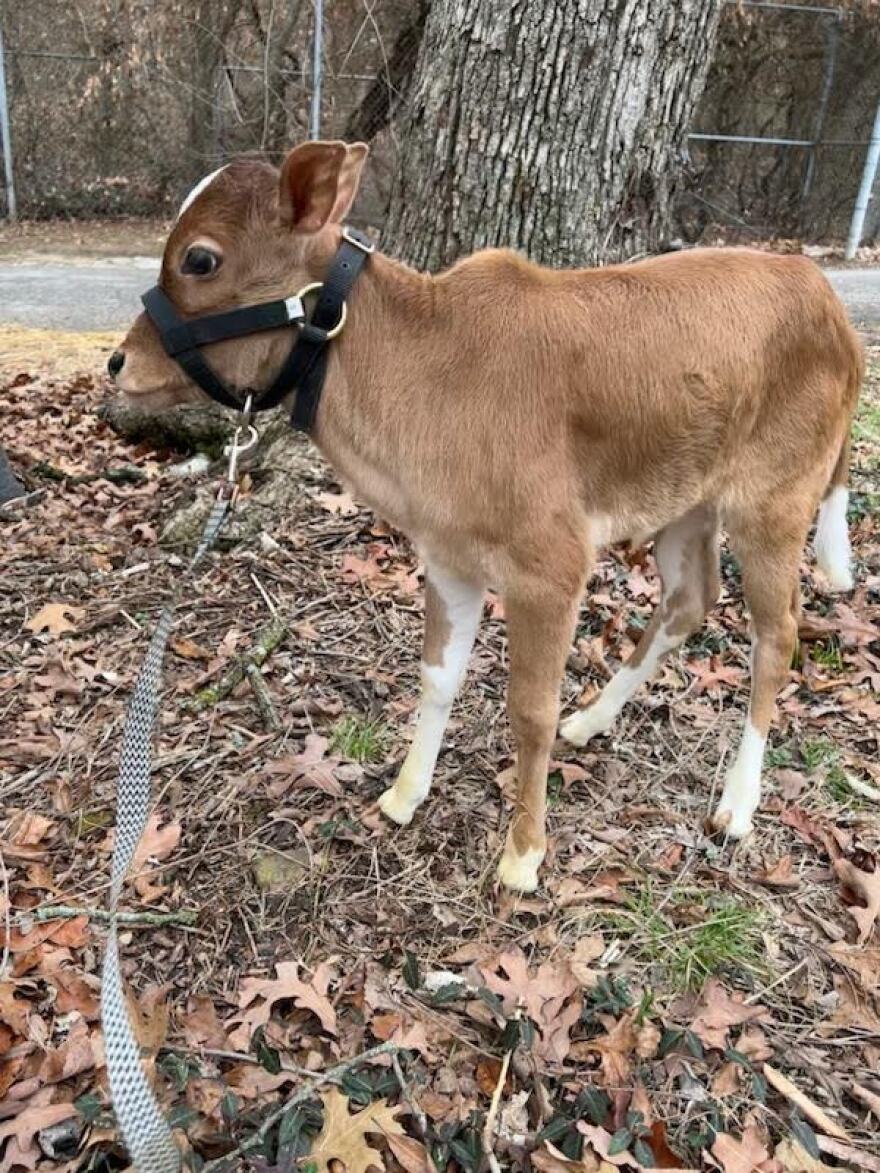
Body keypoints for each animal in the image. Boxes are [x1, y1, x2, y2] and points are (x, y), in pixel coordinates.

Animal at [108, 139, 863, 886]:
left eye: (200, 258)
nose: (117, 363)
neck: (425, 382)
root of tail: (826, 297)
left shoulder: (551, 565)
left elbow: (529, 709)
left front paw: (524, 852)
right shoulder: (448, 554)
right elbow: (439, 676)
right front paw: (405, 793)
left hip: (774, 500)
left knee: (778, 635)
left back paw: (737, 803)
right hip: (688, 497)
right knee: (690, 599)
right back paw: (592, 722)